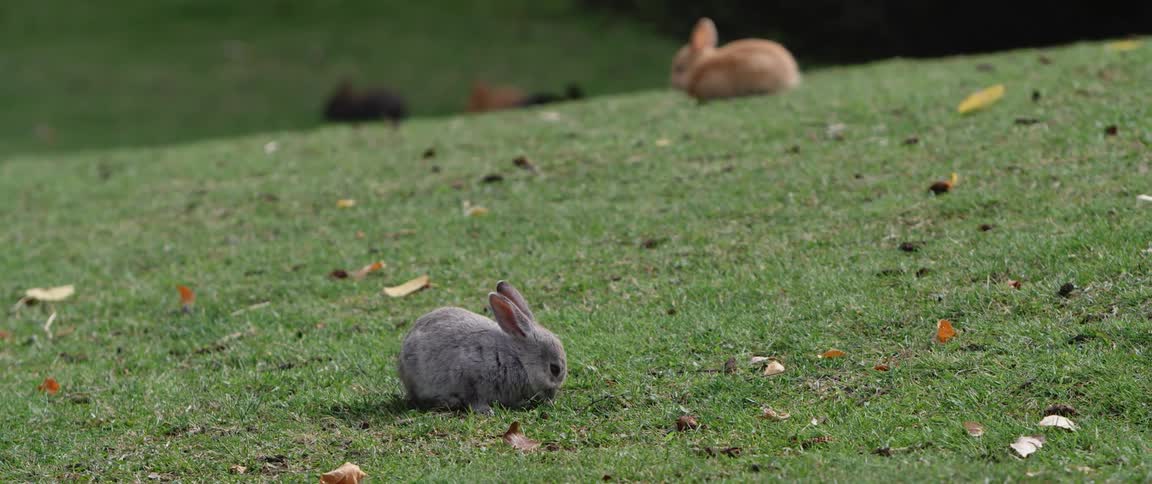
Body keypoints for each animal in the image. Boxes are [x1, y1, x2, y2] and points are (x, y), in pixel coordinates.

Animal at [397, 281, 567, 415]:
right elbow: (474, 399)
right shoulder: (469, 378)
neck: (518, 358)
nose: (551, 398)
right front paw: (486, 411)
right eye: (554, 369)